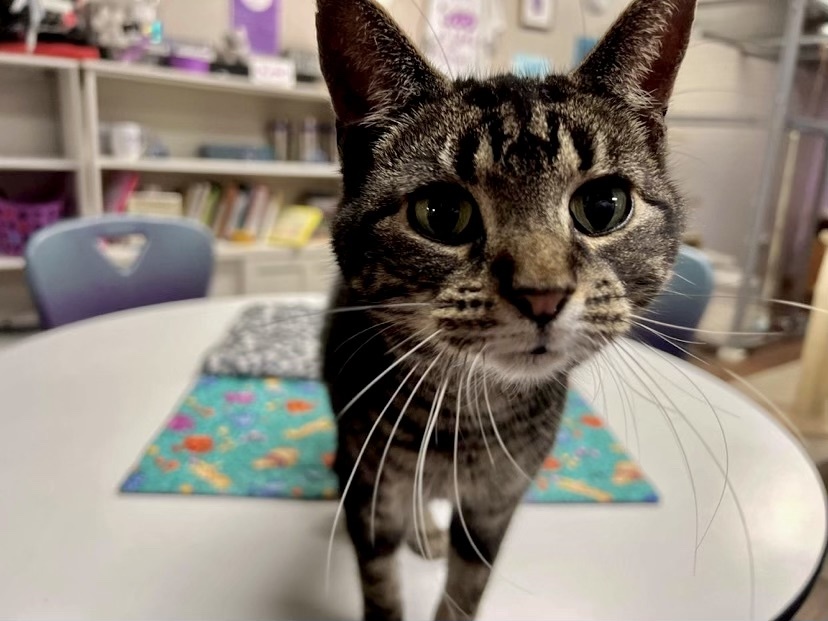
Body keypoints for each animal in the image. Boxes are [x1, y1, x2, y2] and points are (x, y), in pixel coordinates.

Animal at [318, 0, 700, 616]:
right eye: (441, 213)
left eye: (604, 205)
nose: (542, 292)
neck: (467, 424)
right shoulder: (371, 488)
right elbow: (382, 588)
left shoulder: (495, 506)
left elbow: (465, 591)